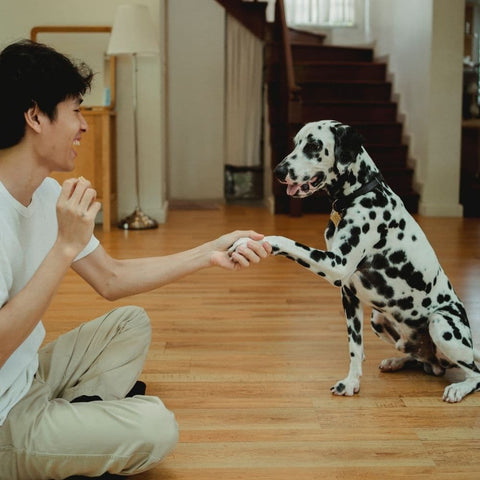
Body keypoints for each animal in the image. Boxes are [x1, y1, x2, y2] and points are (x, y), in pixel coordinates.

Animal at [230, 119, 480, 402]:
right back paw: (397, 361)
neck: (358, 195)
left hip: (441, 324)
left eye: (314, 145)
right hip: (378, 319)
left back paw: (458, 388)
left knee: (474, 374)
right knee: (421, 359)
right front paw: (351, 383)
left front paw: (248, 242)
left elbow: (284, 240)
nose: (278, 171)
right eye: (296, 143)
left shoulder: (336, 265)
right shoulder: (350, 296)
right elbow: (355, 347)